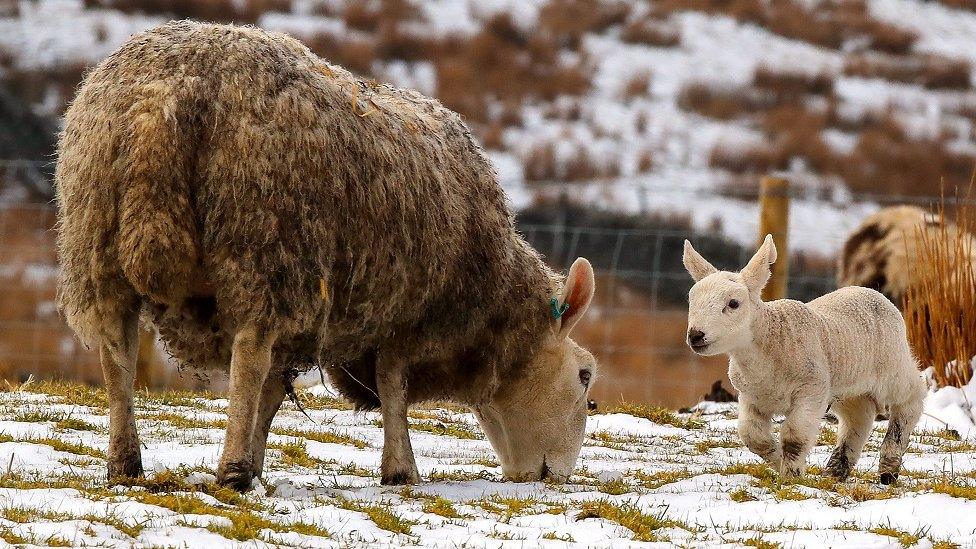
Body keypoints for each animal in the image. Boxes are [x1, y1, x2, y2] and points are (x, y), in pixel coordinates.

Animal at [59, 20, 604, 488]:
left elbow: (276, 392)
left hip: (96, 242)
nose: (556, 475)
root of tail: (166, 97)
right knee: (248, 355)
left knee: (117, 352)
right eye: (584, 377)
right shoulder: (404, 312)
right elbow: (389, 386)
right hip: (264, 244)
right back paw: (231, 471)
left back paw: (125, 462)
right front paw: (400, 469)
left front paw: (261, 456)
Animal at [684, 233, 928, 482]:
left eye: (733, 303)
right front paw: (778, 461)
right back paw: (835, 472)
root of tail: (873, 292)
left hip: (893, 366)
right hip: (848, 387)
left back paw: (889, 467)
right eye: (691, 301)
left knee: (912, 397)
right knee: (857, 418)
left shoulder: (811, 390)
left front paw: (792, 475)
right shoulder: (751, 396)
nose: (695, 335)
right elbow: (753, 437)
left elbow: (794, 437)